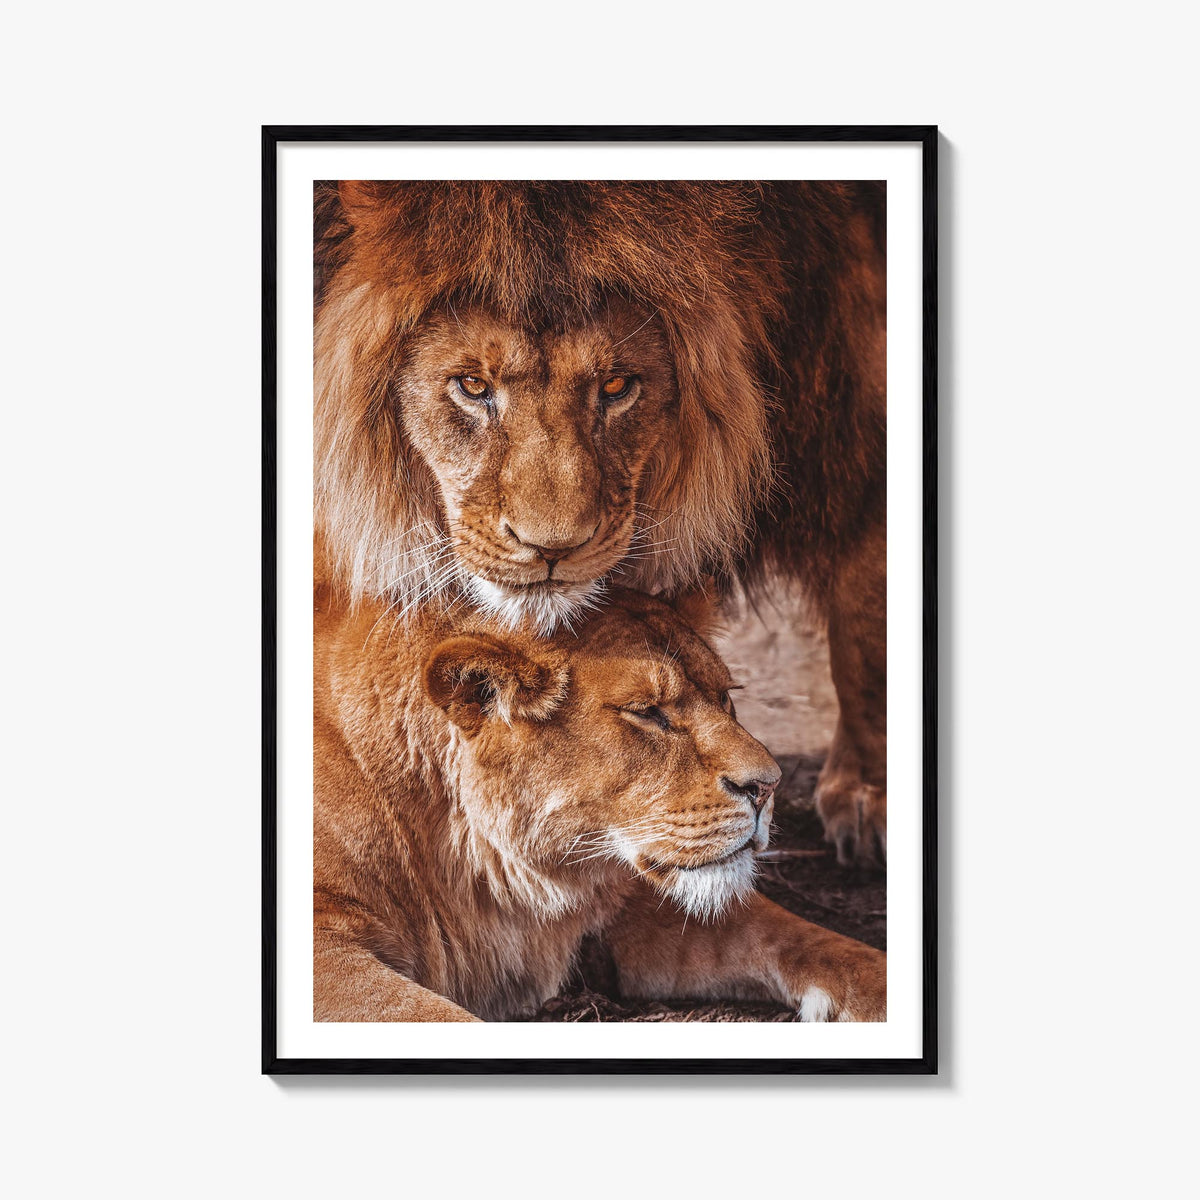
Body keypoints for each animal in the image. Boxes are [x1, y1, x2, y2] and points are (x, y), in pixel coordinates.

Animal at [314, 586, 886, 1022]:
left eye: (726, 697)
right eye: (648, 712)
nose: (769, 786)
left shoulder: (630, 900)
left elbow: (816, 943)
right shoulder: (326, 948)